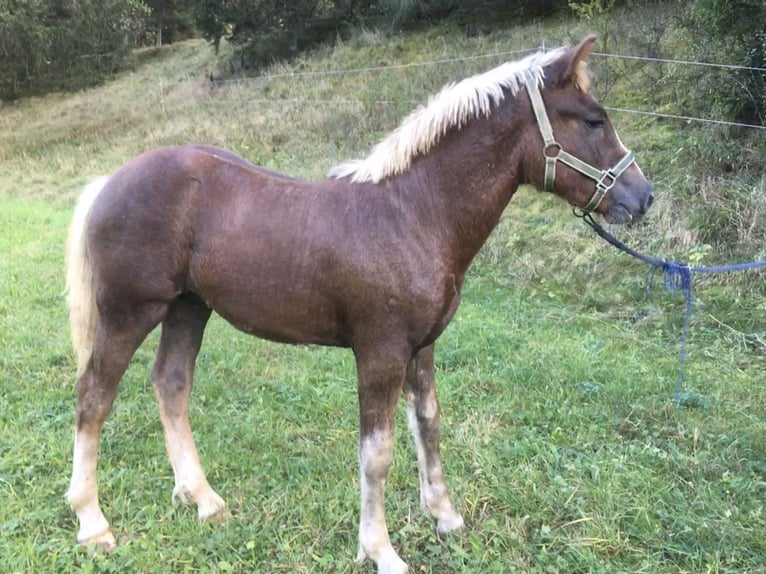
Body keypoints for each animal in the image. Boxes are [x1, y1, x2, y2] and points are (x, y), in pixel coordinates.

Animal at [66, 37, 656, 574]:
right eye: (594, 121)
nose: (643, 196)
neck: (413, 212)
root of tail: (108, 182)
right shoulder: (380, 352)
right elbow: (377, 454)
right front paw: (381, 551)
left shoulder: (422, 347)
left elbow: (428, 425)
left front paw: (446, 518)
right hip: (130, 311)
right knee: (94, 397)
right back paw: (93, 524)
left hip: (188, 308)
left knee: (170, 384)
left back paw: (203, 500)